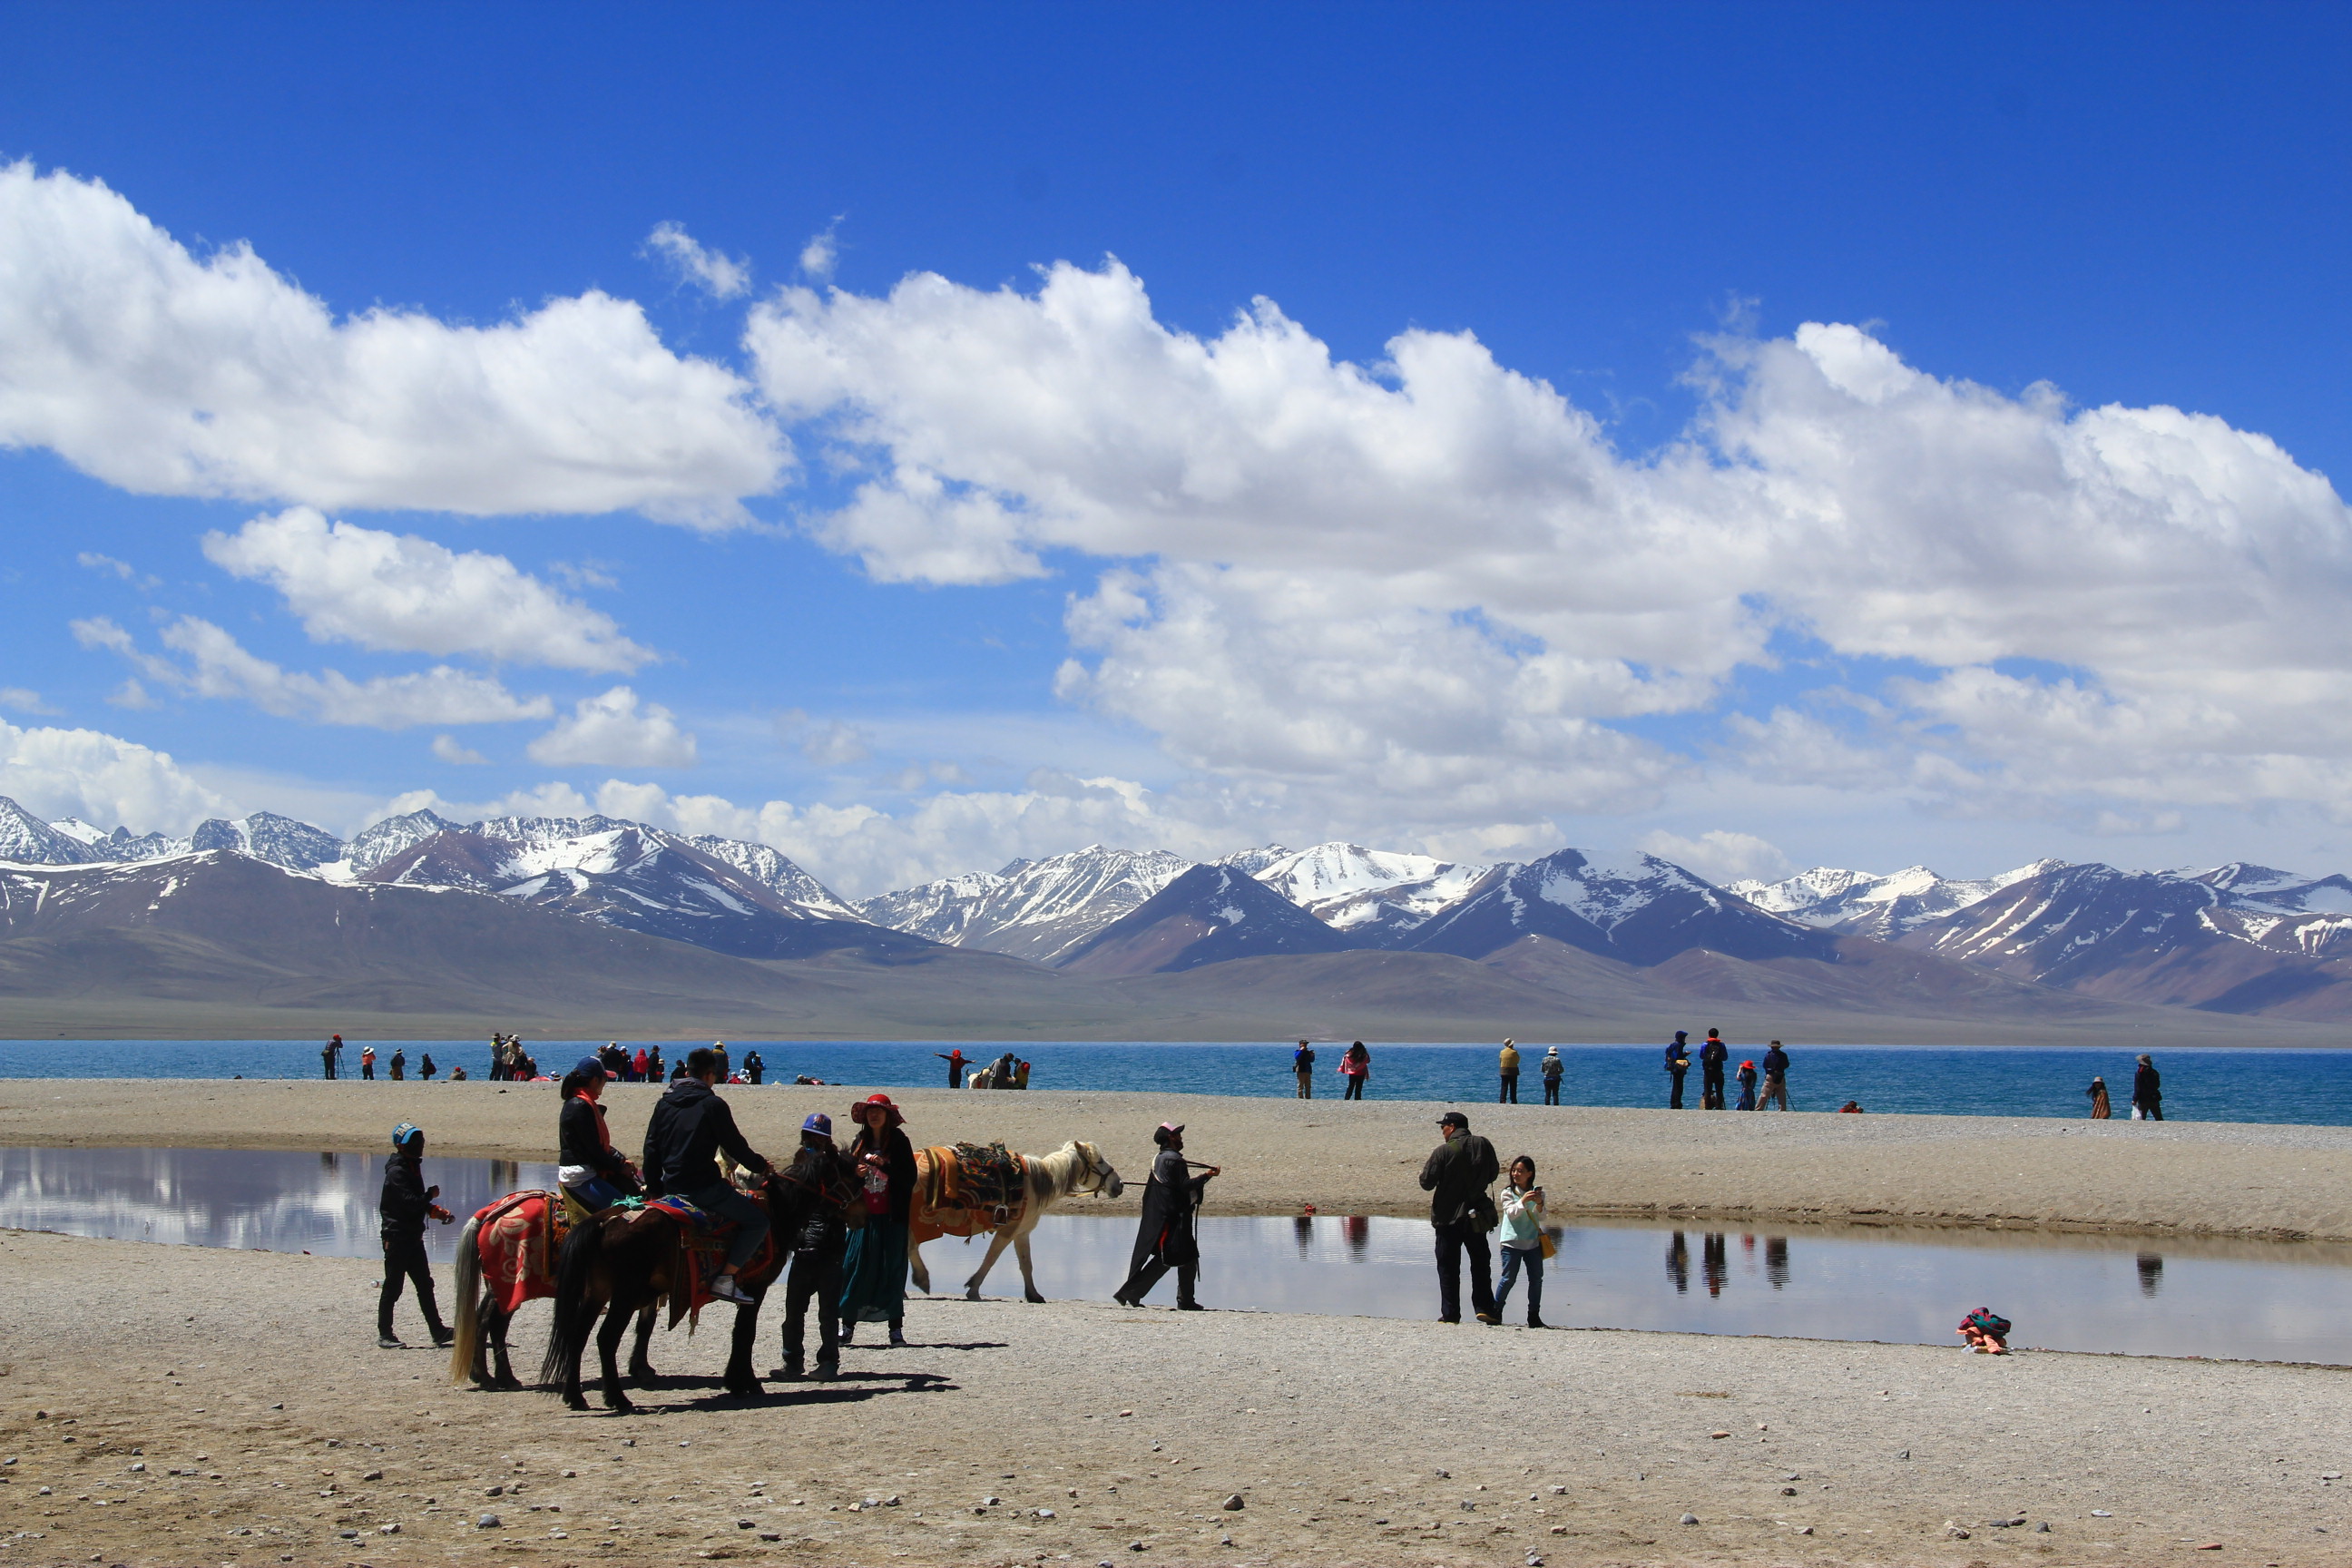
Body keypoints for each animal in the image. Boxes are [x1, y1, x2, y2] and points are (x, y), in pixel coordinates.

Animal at [538, 1171, 813, 1419]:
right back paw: (618, 1399)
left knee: (577, 1336)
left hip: (598, 1292)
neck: (777, 1210)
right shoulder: (757, 1287)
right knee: (606, 1339)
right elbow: (746, 1334)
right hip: (625, 1294)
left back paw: (575, 1397)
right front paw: (745, 1383)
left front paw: (738, 1382)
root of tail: (603, 1222)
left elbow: (740, 1333)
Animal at [907, 1142, 1119, 1298]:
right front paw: (974, 1289)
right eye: (1100, 1161)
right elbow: (991, 1259)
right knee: (911, 1247)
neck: (1038, 1183)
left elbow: (1026, 1264)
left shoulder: (1022, 1232)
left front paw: (1034, 1295)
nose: (1119, 1185)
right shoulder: (1007, 1231)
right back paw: (921, 1280)